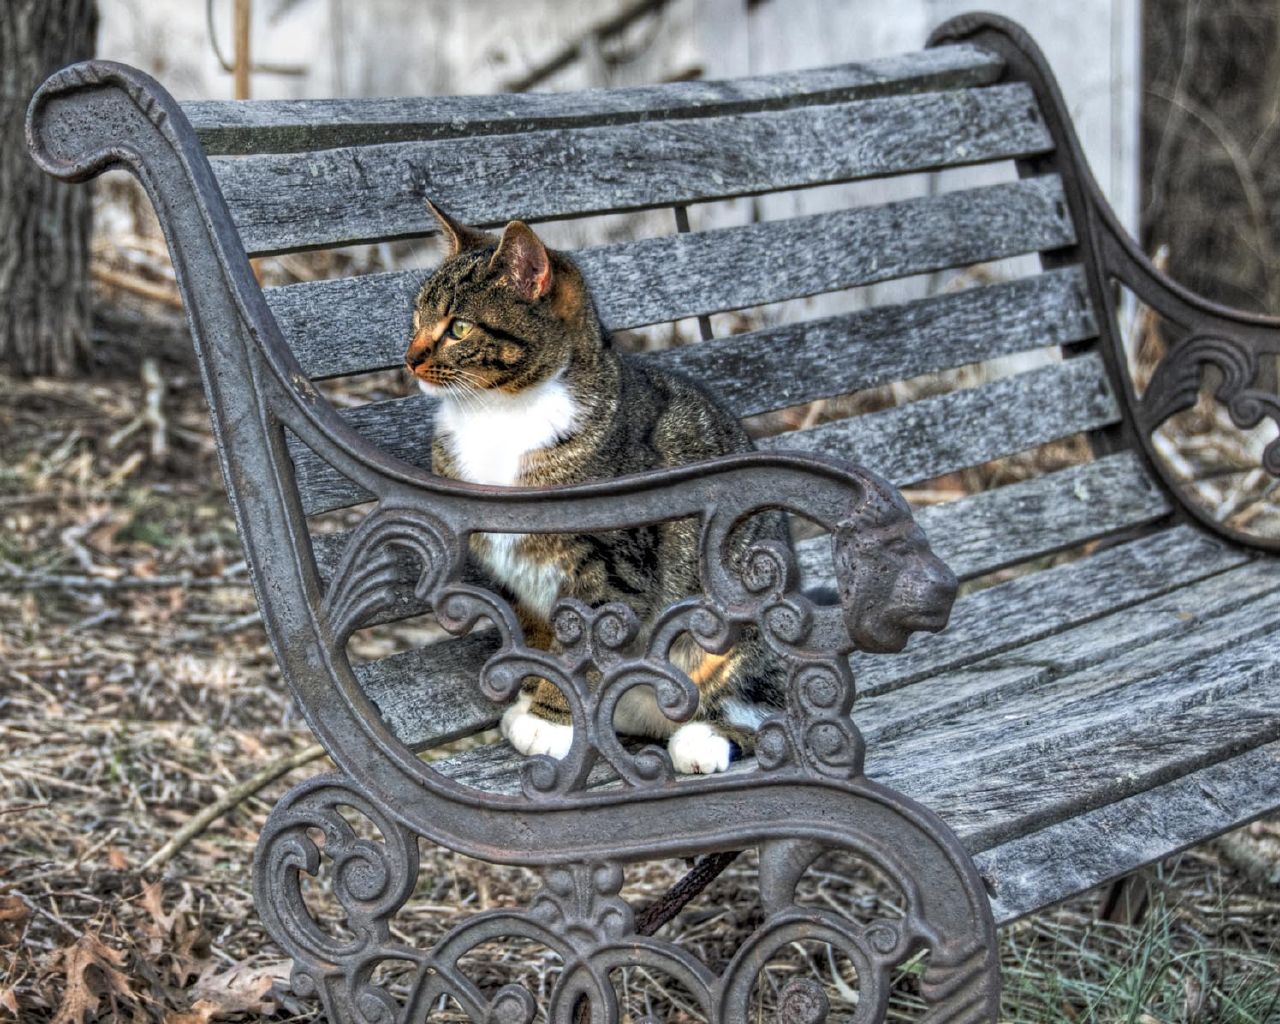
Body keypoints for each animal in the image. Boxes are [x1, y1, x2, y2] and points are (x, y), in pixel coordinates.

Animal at [409, 202, 788, 778]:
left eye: (459, 327)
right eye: (416, 318)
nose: (408, 358)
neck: (498, 416)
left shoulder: (611, 570)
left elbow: (580, 651)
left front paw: (551, 722)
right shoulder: (515, 582)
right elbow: (538, 642)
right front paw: (535, 701)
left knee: (766, 700)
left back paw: (703, 738)